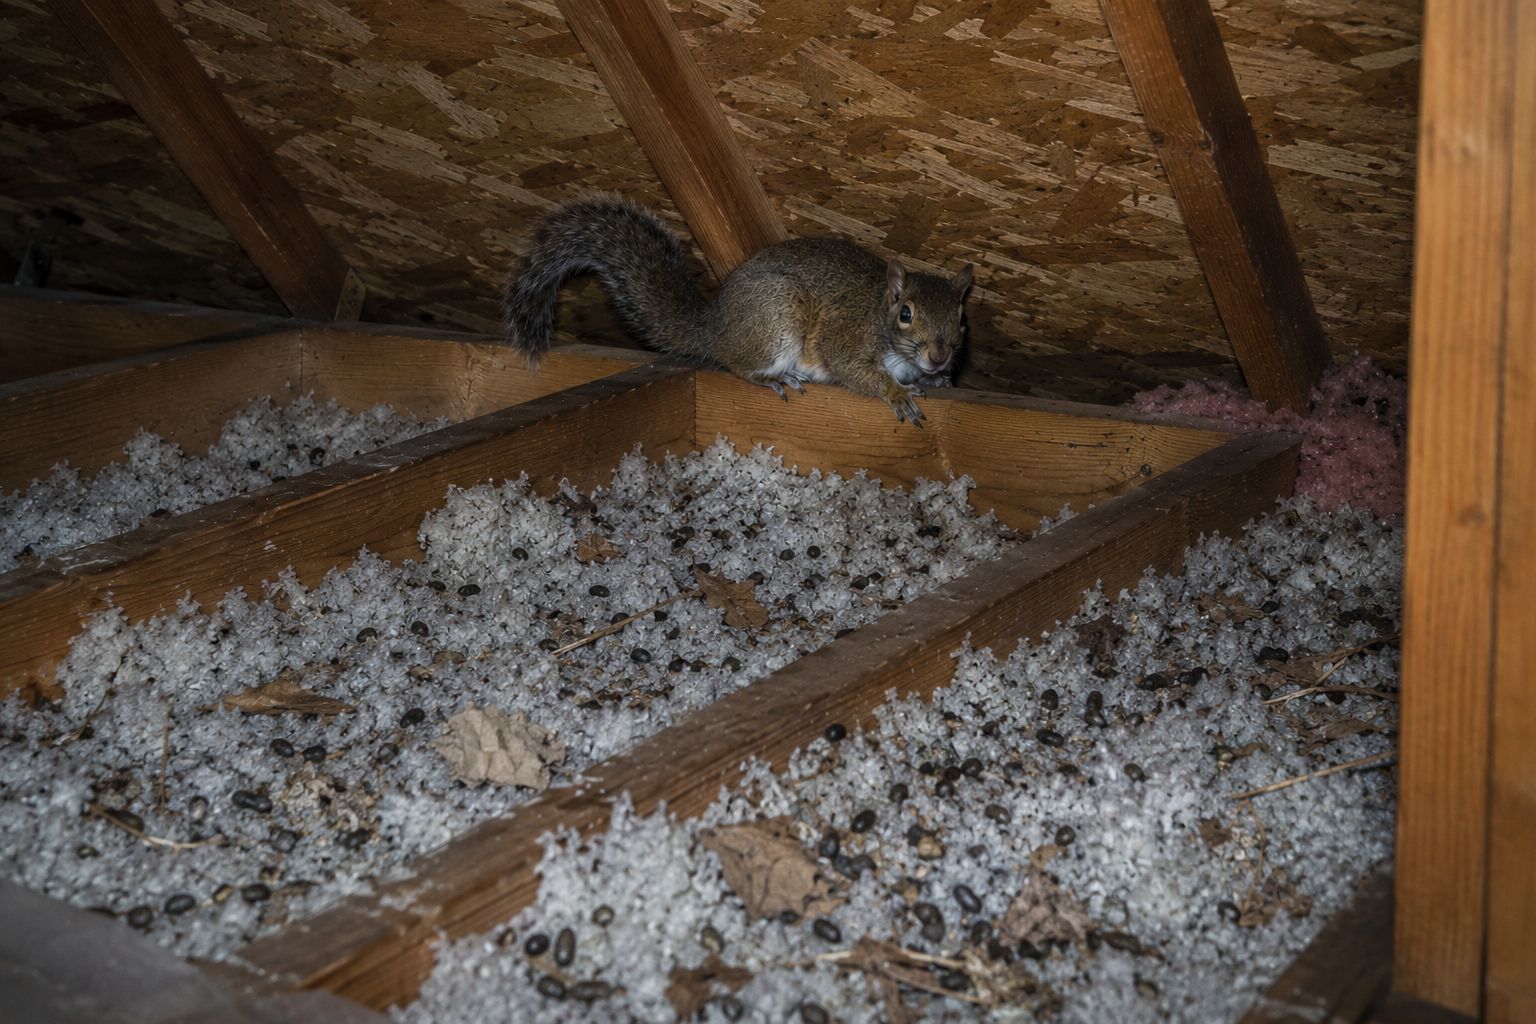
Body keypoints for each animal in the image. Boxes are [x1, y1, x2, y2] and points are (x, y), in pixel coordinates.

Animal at [502, 196, 973, 425]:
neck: (877, 312)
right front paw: (897, 393)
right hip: (777, 320)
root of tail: (713, 326)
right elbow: (855, 370)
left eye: (961, 319)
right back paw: (777, 376)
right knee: (739, 366)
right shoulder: (846, 337)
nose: (939, 357)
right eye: (906, 314)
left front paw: (941, 381)